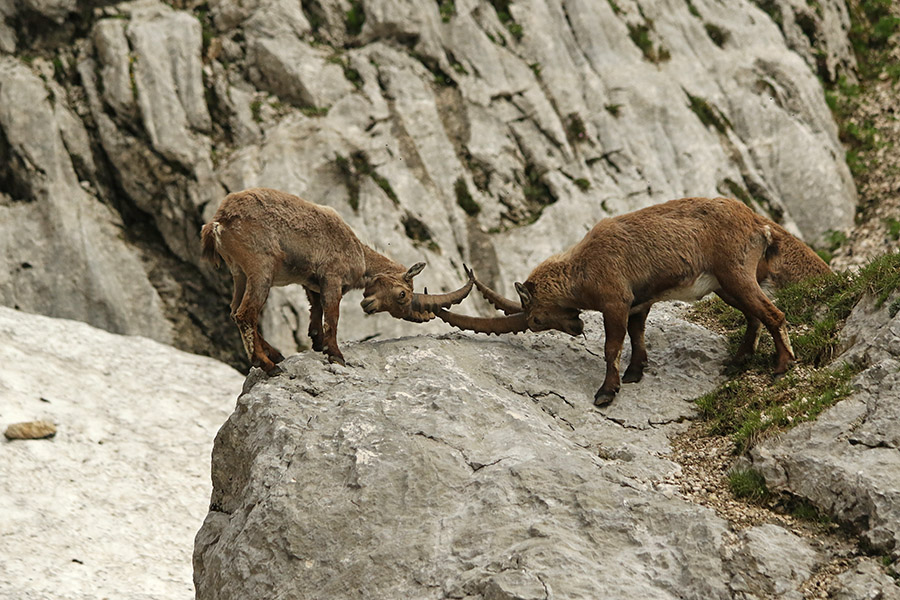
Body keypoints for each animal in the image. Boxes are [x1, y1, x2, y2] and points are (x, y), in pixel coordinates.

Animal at [201, 187, 473, 372]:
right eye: (403, 294)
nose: (368, 307)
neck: (358, 253)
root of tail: (218, 222)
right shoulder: (332, 278)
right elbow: (332, 315)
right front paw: (336, 355)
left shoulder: (312, 282)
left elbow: (316, 310)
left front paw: (318, 343)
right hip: (261, 269)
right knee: (246, 314)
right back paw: (269, 365)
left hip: (239, 273)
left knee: (234, 311)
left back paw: (274, 355)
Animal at [436, 197, 828, 405]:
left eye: (534, 320)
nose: (576, 327)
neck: (582, 268)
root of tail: (758, 224)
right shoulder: (639, 303)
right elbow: (638, 335)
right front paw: (636, 372)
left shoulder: (616, 301)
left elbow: (612, 346)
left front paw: (606, 393)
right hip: (725, 285)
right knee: (753, 316)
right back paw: (739, 360)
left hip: (734, 273)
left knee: (773, 313)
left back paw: (782, 365)